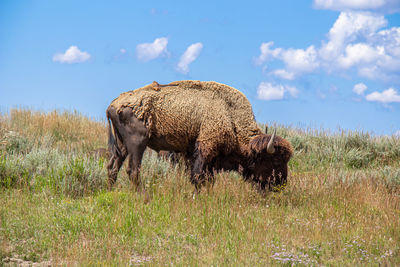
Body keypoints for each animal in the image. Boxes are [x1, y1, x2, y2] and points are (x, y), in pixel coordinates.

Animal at [106, 80, 294, 194]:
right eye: (276, 160)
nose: (281, 183)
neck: (229, 114)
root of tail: (114, 105)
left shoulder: (211, 158)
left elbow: (208, 179)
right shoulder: (204, 150)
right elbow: (198, 177)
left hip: (121, 145)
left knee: (113, 166)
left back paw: (110, 190)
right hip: (138, 143)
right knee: (133, 170)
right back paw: (144, 195)